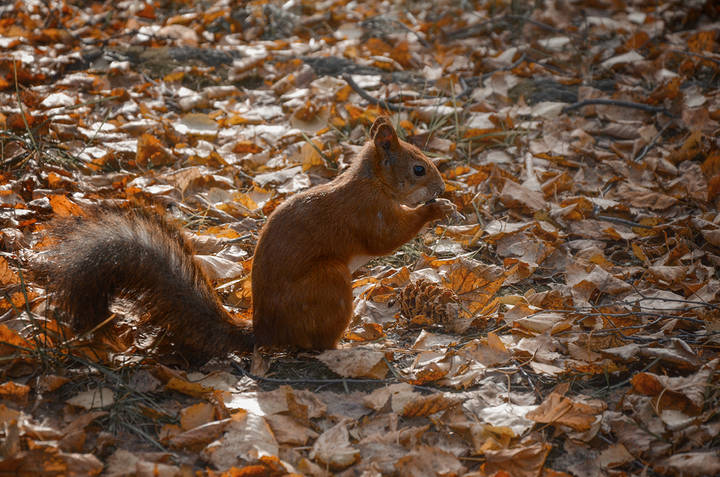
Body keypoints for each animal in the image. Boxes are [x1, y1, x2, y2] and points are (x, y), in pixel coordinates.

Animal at [32, 116, 457, 362]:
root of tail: (264, 332)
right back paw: (355, 344)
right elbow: (387, 237)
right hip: (330, 282)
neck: (373, 183)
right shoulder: (367, 213)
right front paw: (437, 210)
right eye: (419, 169)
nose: (441, 187)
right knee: (318, 345)